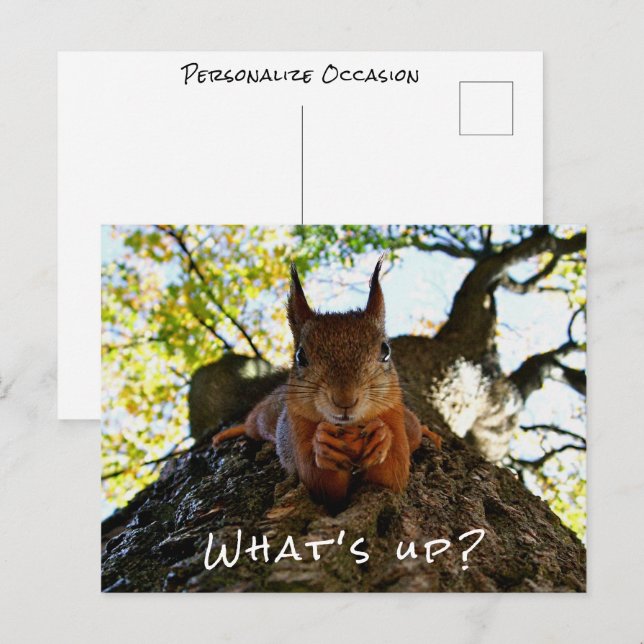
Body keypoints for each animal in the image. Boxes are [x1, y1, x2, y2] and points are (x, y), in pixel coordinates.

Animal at [213, 257, 441, 505]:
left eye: (385, 351)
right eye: (300, 356)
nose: (345, 400)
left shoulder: (394, 417)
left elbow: (393, 474)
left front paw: (381, 436)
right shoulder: (297, 427)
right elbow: (320, 483)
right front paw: (323, 444)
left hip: (409, 424)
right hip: (265, 417)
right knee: (251, 423)